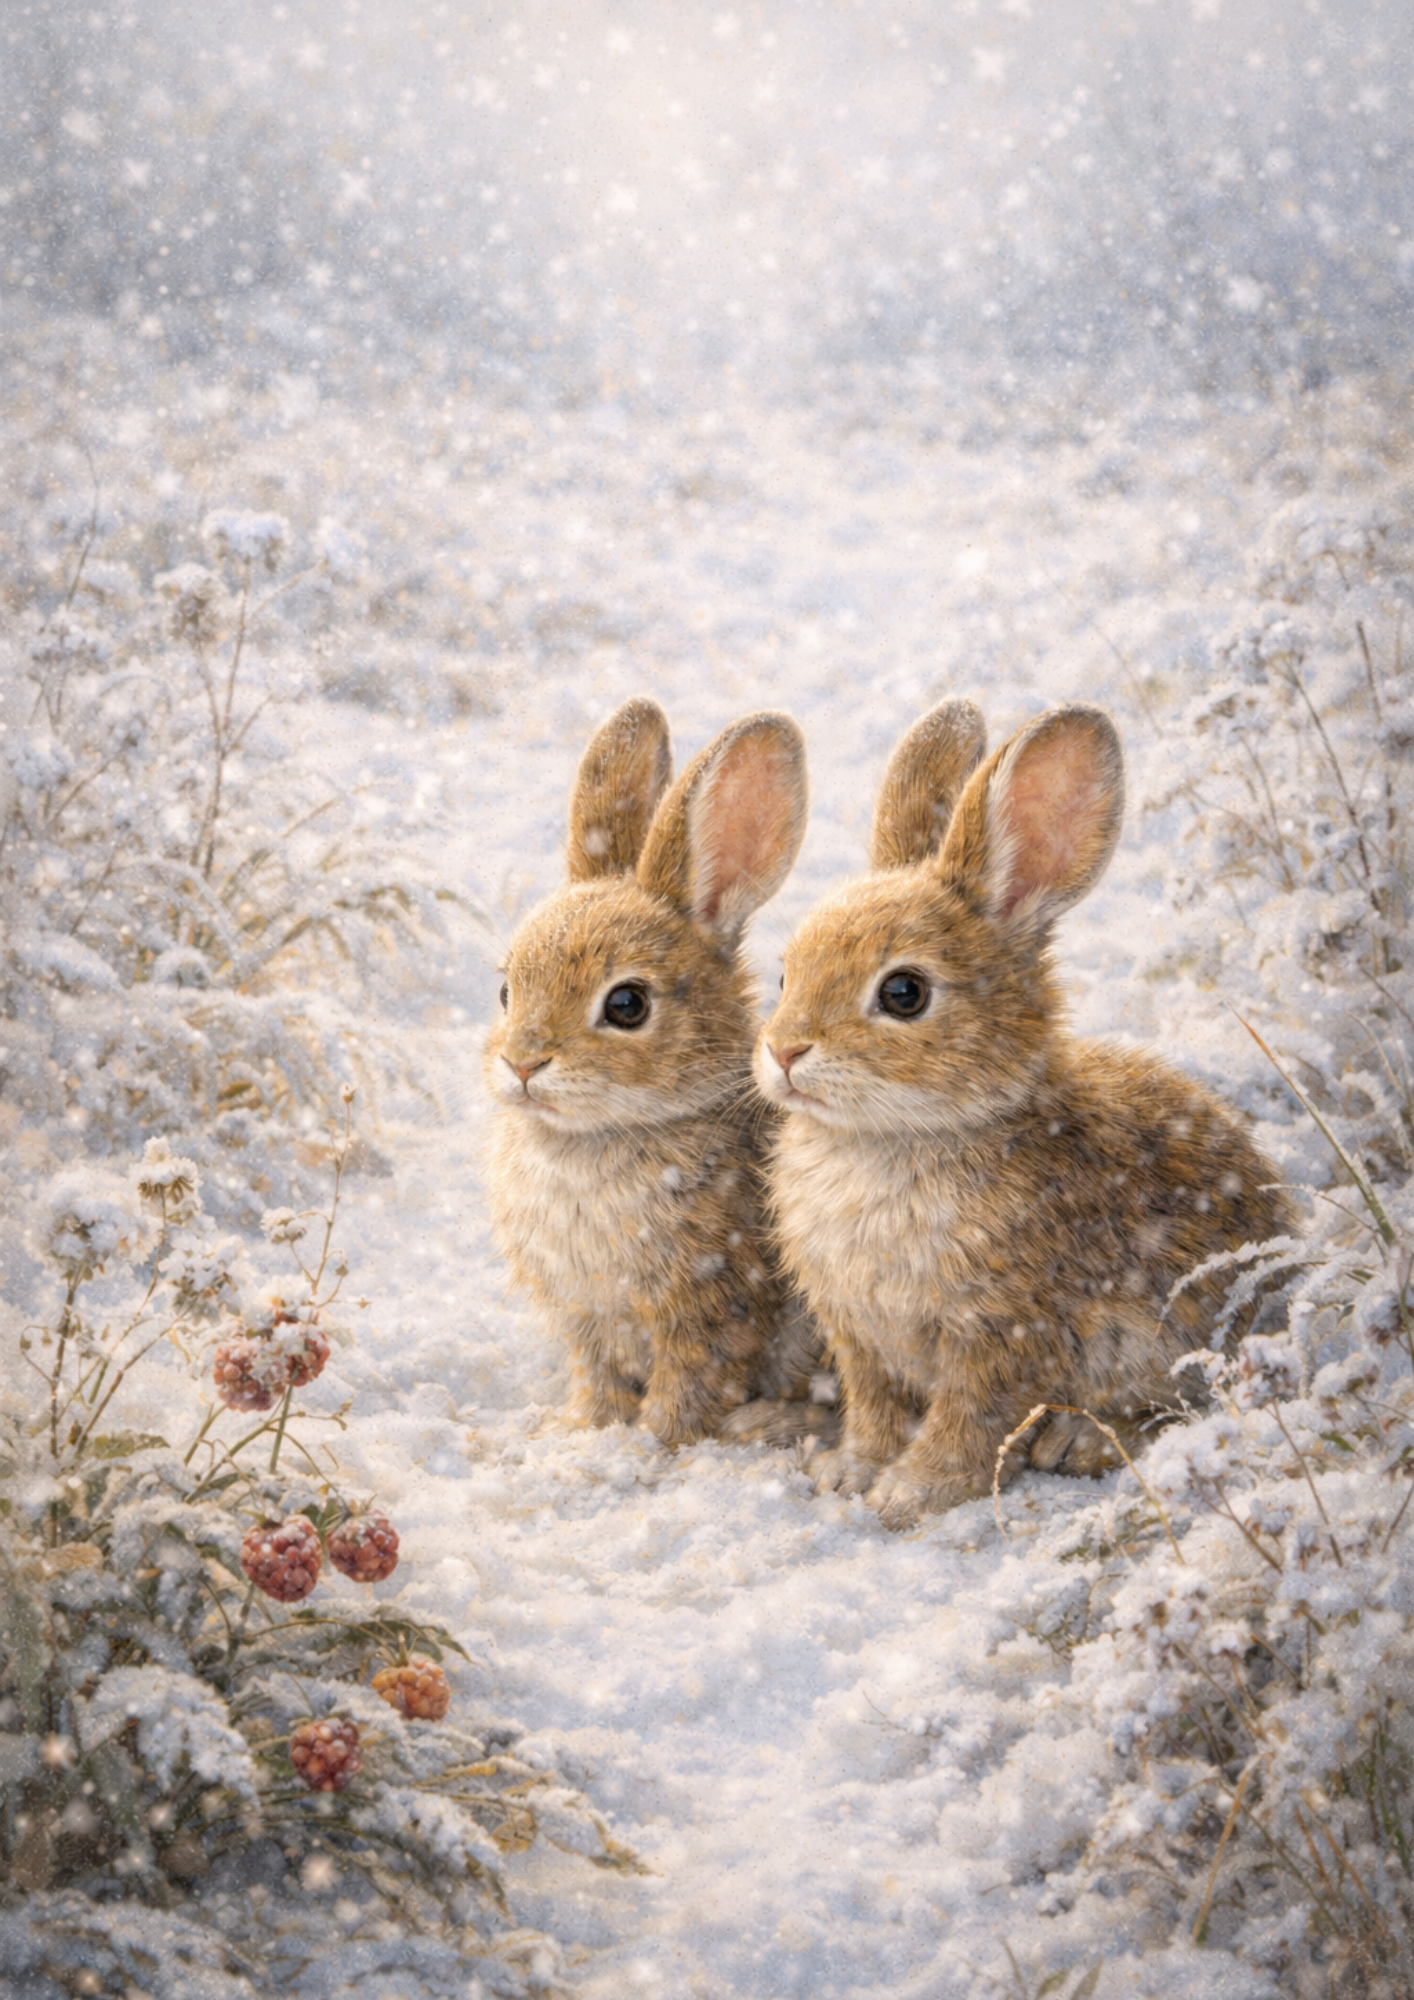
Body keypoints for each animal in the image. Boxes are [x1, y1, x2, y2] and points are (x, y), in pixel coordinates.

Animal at [484, 695, 831, 1448]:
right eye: (505, 991)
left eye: (627, 1005)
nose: (522, 1063)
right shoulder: (589, 1320)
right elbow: (600, 1379)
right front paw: (582, 1430)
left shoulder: (711, 1300)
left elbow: (690, 1385)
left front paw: (649, 1447)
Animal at [753, 698, 1293, 1529]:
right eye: (784, 975)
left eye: (903, 993)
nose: (783, 1050)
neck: (896, 1137)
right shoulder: (859, 1336)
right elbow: (876, 1408)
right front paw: (851, 1472)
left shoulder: (1001, 1331)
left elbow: (968, 1418)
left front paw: (913, 1493)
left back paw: (1078, 1441)